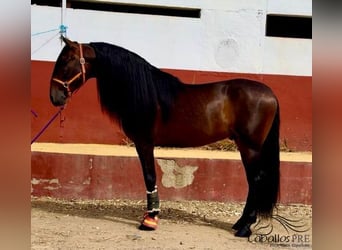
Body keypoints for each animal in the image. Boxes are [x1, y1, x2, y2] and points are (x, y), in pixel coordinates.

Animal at [50, 36, 280, 237]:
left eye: (66, 60)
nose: (54, 97)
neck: (145, 93)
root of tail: (270, 94)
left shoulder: (144, 143)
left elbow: (150, 177)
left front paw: (150, 220)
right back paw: (240, 223)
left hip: (250, 147)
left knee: (256, 180)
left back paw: (245, 227)